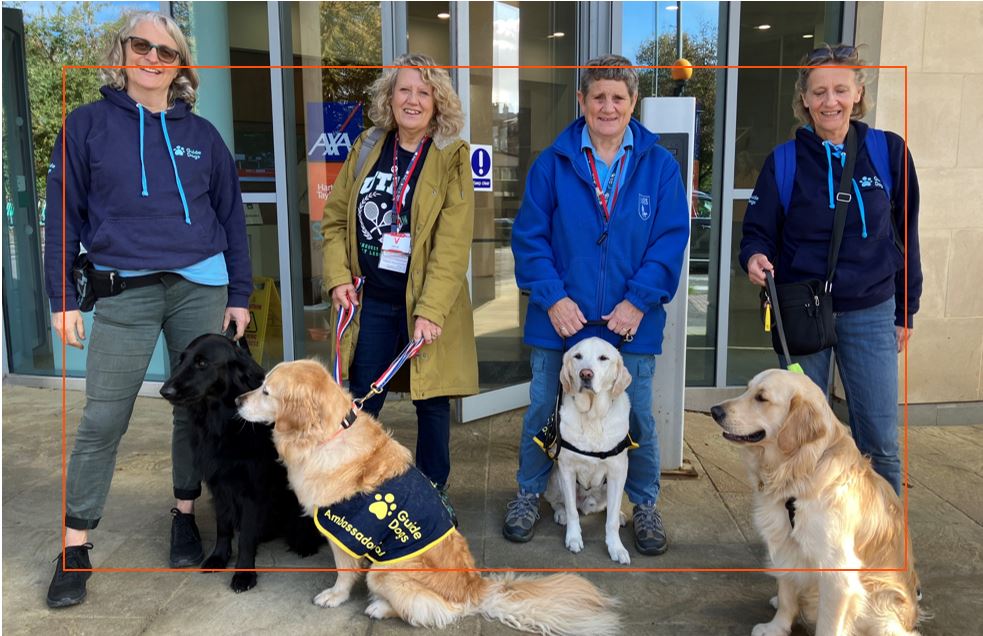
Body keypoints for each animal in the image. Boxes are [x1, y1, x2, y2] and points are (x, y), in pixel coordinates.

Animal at [160, 332, 322, 592]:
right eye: (182, 360)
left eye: (202, 363)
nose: (165, 390)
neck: (223, 423)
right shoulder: (219, 486)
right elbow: (223, 527)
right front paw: (218, 557)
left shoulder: (252, 490)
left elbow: (245, 536)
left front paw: (244, 573)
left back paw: (303, 543)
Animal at [237, 360, 620, 632]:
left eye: (266, 391)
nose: (238, 400)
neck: (328, 434)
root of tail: (474, 587)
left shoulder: (344, 531)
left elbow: (344, 572)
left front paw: (334, 596)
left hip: (384, 572)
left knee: (435, 612)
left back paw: (379, 607)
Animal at [540, 338, 636, 560]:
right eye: (578, 356)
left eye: (603, 358)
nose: (585, 374)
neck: (592, 416)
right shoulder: (567, 469)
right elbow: (573, 512)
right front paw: (573, 538)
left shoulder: (618, 471)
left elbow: (611, 521)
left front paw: (616, 547)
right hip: (555, 478)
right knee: (558, 501)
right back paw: (561, 513)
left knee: (610, 507)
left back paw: (620, 514)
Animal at [708, 368, 924, 636]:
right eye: (747, 389)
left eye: (761, 398)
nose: (714, 410)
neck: (801, 468)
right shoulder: (785, 544)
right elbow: (787, 595)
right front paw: (776, 627)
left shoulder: (837, 572)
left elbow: (828, 623)